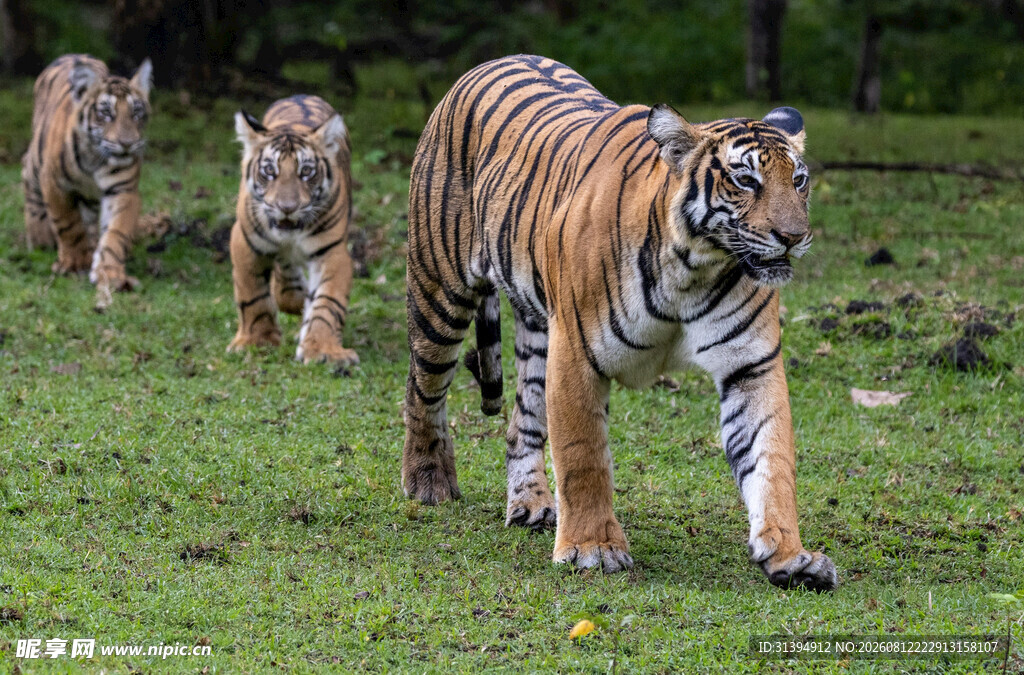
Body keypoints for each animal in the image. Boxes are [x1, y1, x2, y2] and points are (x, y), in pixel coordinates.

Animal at [21, 54, 153, 309]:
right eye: (106, 113)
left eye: (136, 112)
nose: (127, 143)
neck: (95, 157)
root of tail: (72, 55)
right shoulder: (55, 184)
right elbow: (68, 225)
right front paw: (74, 263)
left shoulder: (123, 190)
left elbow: (116, 232)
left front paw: (109, 272)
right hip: (35, 162)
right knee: (27, 177)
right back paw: (39, 237)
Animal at [227, 95, 358, 366]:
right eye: (269, 170)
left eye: (306, 171)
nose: (287, 208)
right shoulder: (244, 242)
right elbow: (252, 295)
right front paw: (257, 340)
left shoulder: (333, 252)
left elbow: (328, 303)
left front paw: (323, 349)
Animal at [402, 55, 837, 591]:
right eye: (745, 181)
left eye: (798, 181)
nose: (794, 236)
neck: (694, 267)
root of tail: (490, 61)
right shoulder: (575, 354)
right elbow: (583, 454)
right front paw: (592, 550)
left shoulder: (751, 365)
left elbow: (770, 460)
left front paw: (791, 556)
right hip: (439, 291)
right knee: (422, 387)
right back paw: (428, 482)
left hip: (537, 331)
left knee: (522, 420)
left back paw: (531, 504)